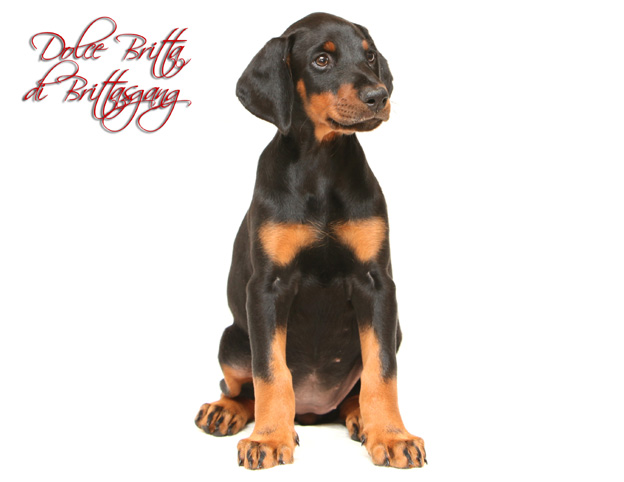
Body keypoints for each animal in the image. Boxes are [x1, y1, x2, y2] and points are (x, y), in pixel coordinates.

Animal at [194, 12, 426, 470]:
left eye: (369, 56)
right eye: (321, 60)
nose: (379, 95)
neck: (322, 167)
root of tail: (314, 410)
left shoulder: (377, 284)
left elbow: (382, 369)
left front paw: (392, 436)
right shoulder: (267, 287)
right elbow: (270, 371)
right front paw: (268, 438)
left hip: (396, 329)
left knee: (355, 391)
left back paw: (360, 419)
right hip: (231, 339)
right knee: (239, 387)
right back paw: (224, 411)